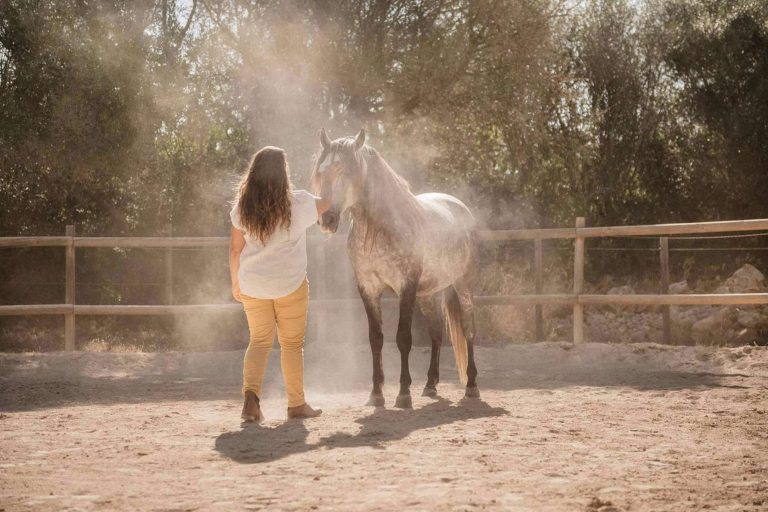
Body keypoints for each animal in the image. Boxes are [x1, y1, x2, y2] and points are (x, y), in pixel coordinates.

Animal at [311, 128, 480, 408]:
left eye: (346, 170)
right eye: (321, 172)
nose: (327, 219)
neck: (378, 230)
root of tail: (461, 208)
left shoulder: (406, 288)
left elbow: (403, 338)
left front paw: (403, 394)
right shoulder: (368, 289)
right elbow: (376, 339)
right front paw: (376, 395)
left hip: (463, 284)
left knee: (468, 330)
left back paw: (472, 386)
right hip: (427, 294)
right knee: (436, 331)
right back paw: (430, 385)